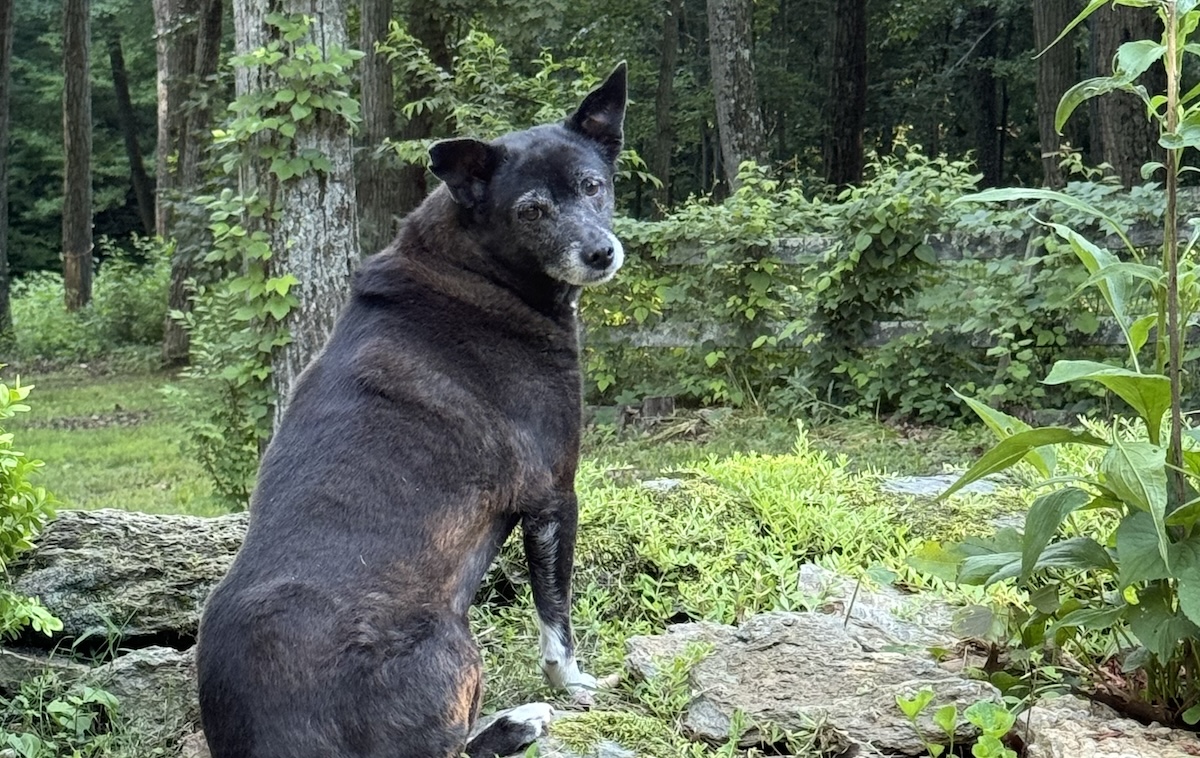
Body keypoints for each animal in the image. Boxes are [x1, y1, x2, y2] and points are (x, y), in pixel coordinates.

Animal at [196, 65, 628, 758]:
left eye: (593, 186)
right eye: (531, 210)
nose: (600, 253)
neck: (477, 269)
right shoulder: (554, 494)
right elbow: (555, 620)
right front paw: (574, 684)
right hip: (452, 641)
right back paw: (519, 721)